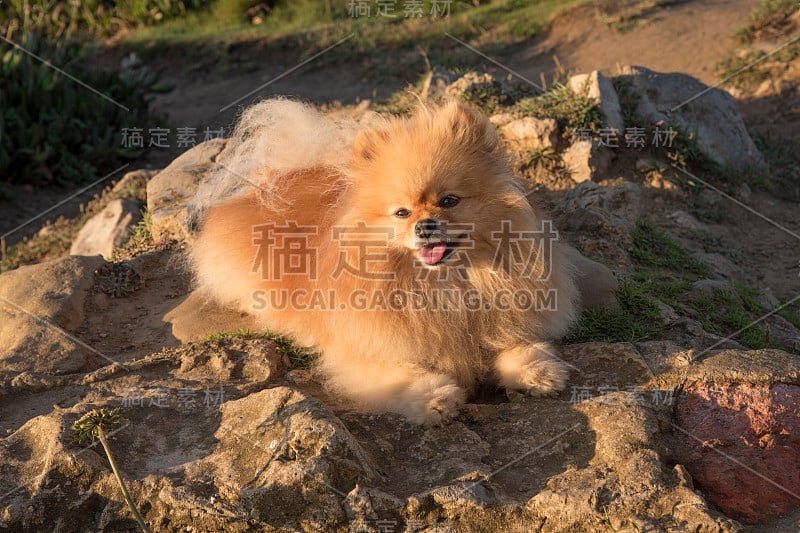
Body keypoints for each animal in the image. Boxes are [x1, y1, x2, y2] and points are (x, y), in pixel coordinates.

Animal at [191, 98, 580, 424]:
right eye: (402, 212)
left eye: (449, 200)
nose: (424, 225)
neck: (445, 285)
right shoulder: (362, 352)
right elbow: (399, 373)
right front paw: (435, 397)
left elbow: (514, 344)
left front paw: (538, 371)